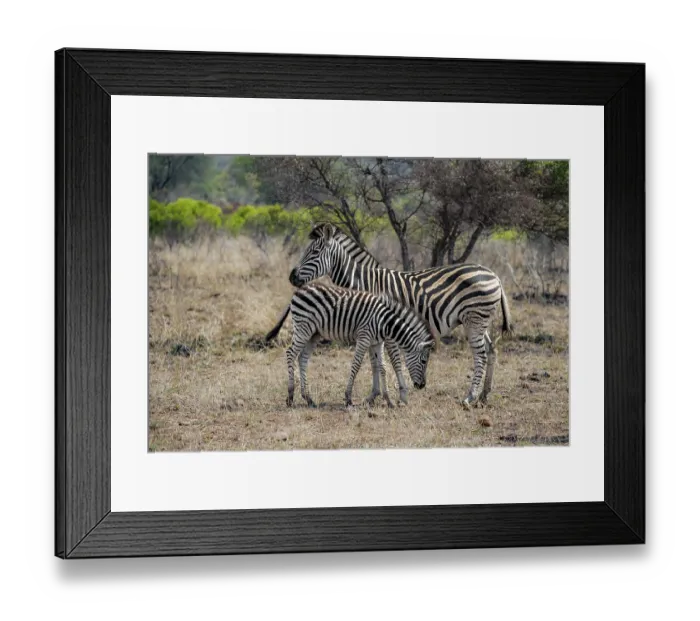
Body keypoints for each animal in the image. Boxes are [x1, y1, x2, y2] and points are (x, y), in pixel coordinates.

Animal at [265, 282, 436, 408]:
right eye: (424, 361)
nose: (422, 386)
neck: (385, 322)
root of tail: (299, 290)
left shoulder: (376, 342)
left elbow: (382, 367)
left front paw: (388, 400)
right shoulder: (365, 337)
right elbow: (357, 364)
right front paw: (348, 398)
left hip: (314, 333)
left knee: (302, 358)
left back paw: (308, 398)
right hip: (303, 328)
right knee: (290, 353)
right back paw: (290, 396)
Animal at [287, 223, 513, 408]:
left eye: (314, 252)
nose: (291, 277)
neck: (365, 283)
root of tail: (494, 275)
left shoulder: (387, 326)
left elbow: (392, 361)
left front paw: (399, 395)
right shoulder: (373, 327)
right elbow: (375, 362)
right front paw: (374, 396)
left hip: (474, 320)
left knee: (480, 355)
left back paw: (470, 397)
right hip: (478, 321)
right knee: (491, 350)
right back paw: (484, 395)